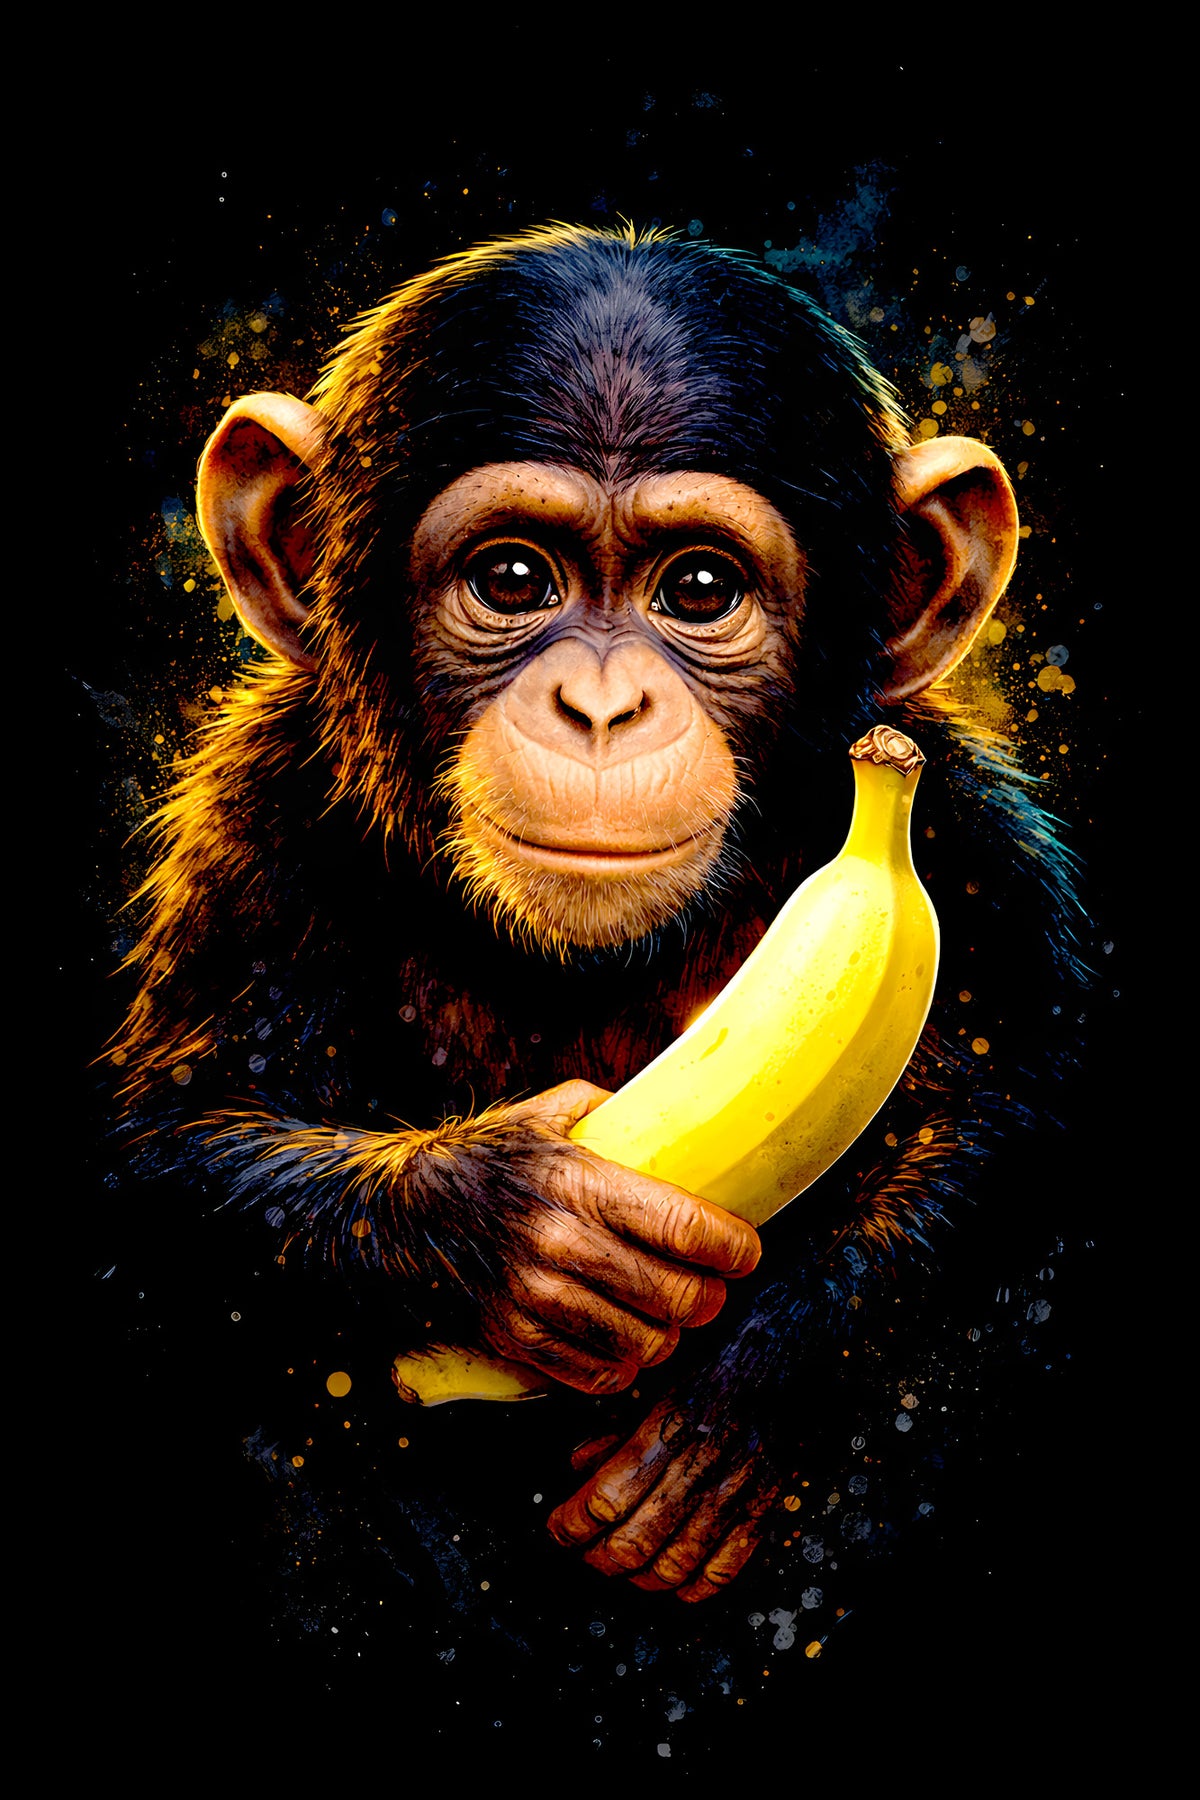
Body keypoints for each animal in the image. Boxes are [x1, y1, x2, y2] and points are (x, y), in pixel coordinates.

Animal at [108, 223, 1085, 1609]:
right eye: (514, 577)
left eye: (700, 589)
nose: (604, 708)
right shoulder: (265, 816)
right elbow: (175, 1138)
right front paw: (516, 1223)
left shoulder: (975, 845)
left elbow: (1025, 1100)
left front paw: (751, 1396)